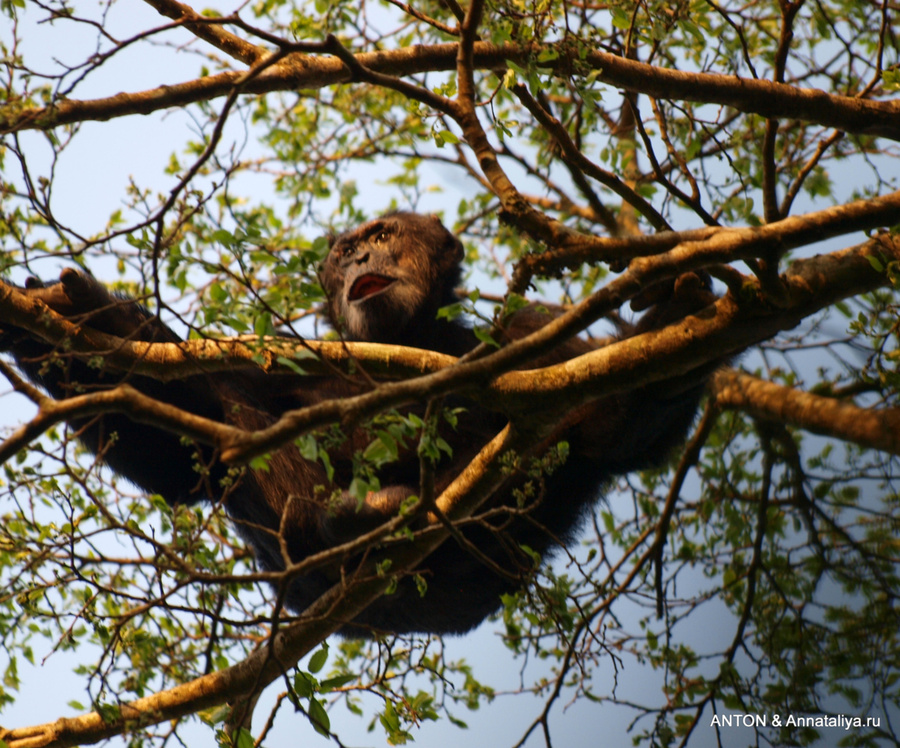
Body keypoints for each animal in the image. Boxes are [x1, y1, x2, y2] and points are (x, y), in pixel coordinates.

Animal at [0, 212, 716, 636]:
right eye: (344, 252)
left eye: (382, 236)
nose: (357, 261)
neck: (407, 341)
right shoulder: (282, 362)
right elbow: (187, 456)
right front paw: (59, 316)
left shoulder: (530, 333)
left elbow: (599, 428)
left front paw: (680, 304)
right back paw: (354, 519)